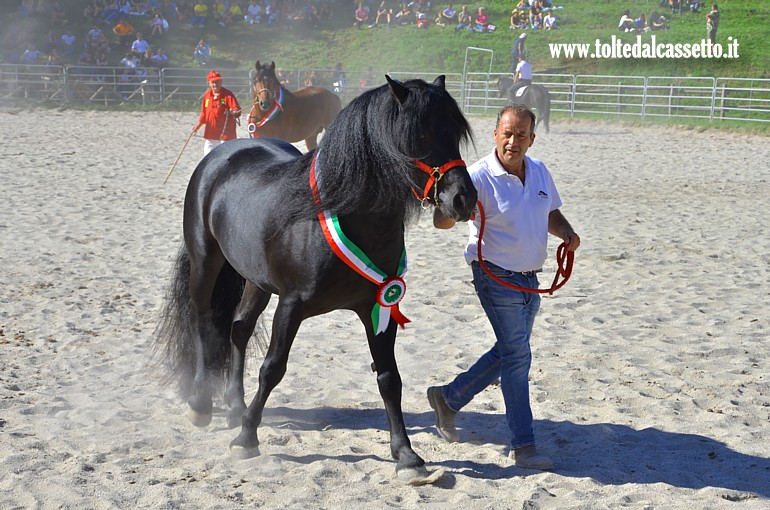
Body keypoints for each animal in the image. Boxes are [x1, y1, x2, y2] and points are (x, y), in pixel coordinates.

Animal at [155, 75, 478, 484]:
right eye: (419, 135)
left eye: (455, 132)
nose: (463, 199)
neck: (344, 213)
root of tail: (222, 153)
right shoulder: (291, 305)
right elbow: (272, 368)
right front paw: (246, 439)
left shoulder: (379, 305)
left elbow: (389, 378)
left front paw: (406, 456)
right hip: (205, 262)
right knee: (202, 321)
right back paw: (201, 403)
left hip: (256, 280)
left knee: (238, 328)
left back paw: (235, 406)